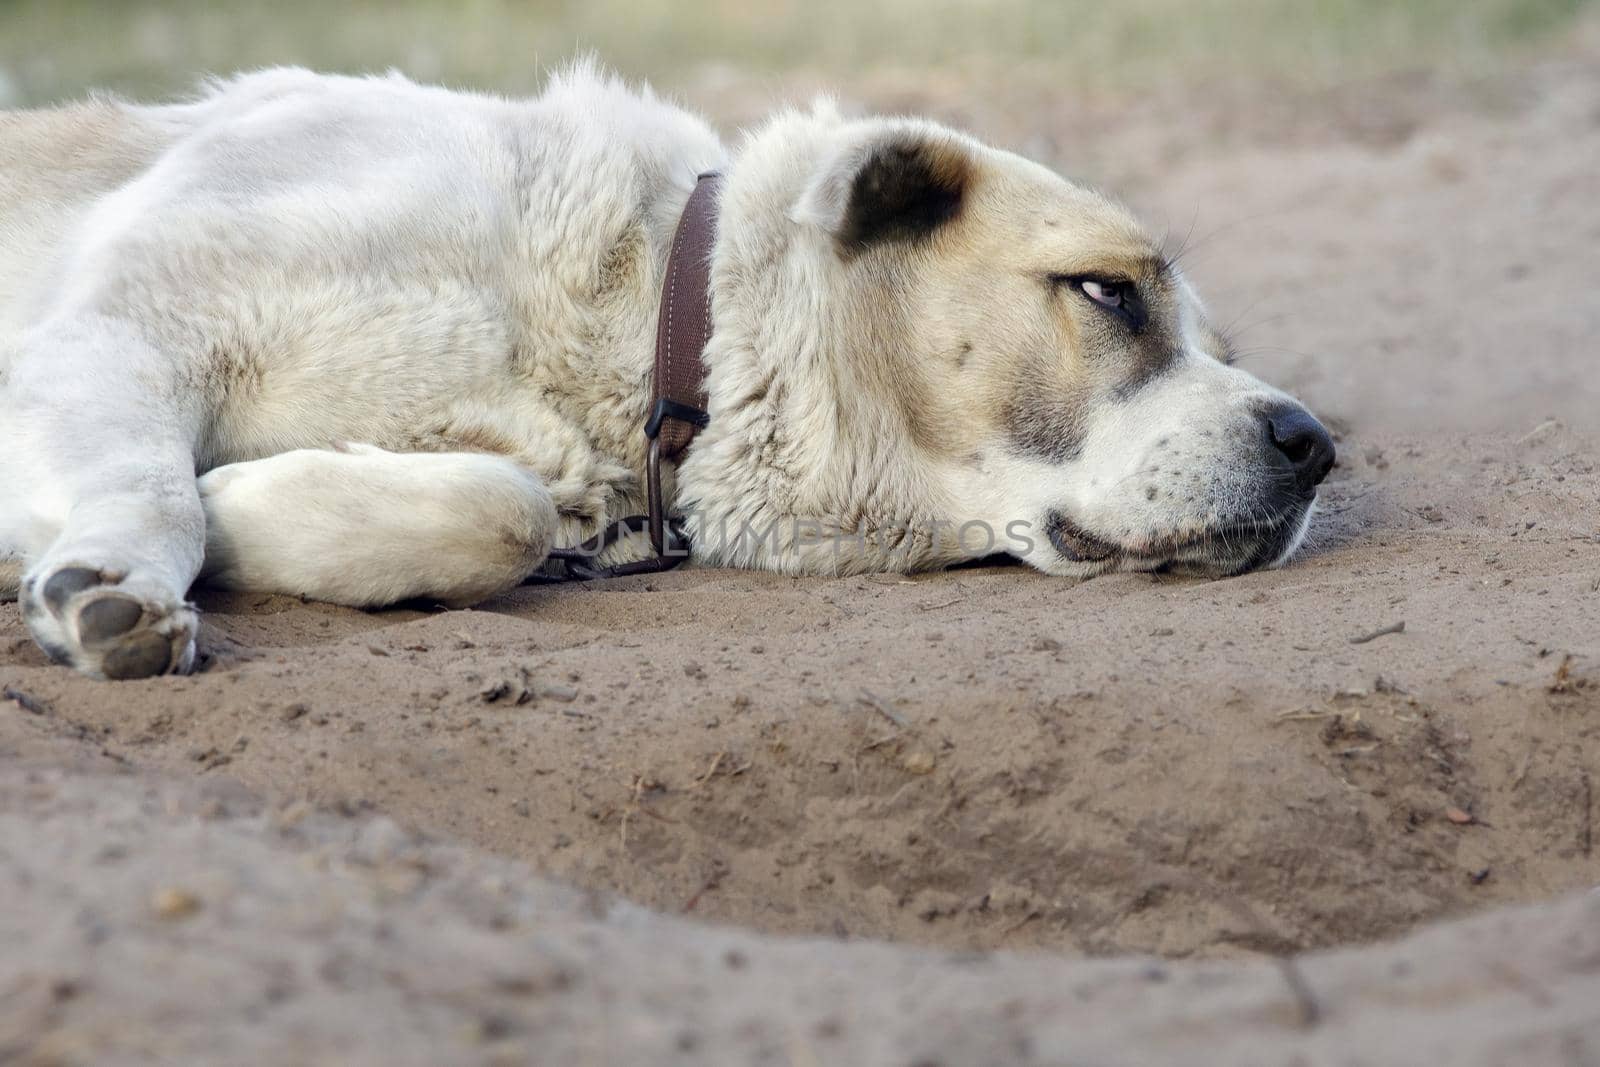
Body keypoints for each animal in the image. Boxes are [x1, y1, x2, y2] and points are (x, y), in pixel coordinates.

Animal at [0, 62, 1331, 681]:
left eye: (1222, 351)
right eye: (1105, 294)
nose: (1312, 443)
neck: (639, 305)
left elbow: (506, 510)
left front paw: (253, 509)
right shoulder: (125, 320)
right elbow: (157, 489)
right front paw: (124, 576)